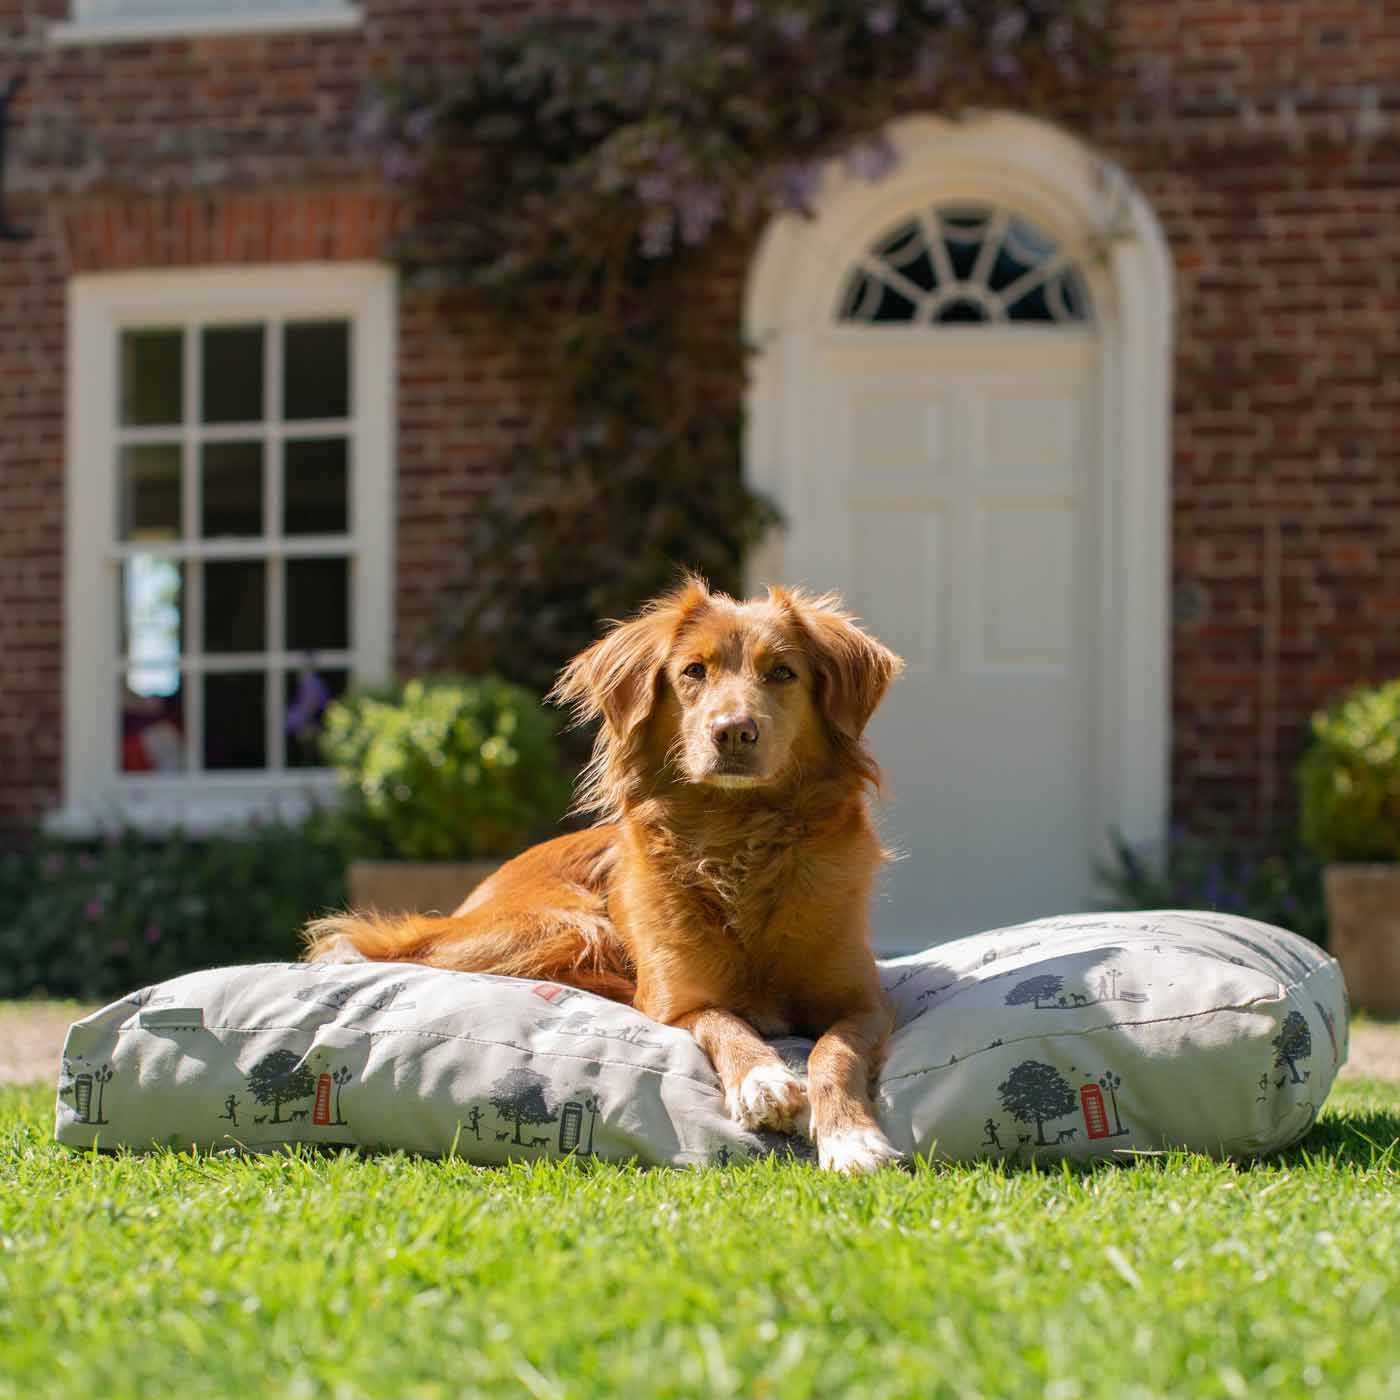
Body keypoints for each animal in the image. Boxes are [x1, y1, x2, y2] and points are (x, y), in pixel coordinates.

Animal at [301, 576, 901, 1170]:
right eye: (694, 672)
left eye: (782, 672)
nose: (733, 731)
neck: (739, 836)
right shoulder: (678, 1001)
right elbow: (724, 1021)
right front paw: (763, 1078)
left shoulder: (866, 1003)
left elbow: (834, 1052)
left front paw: (852, 1136)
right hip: (566, 925)